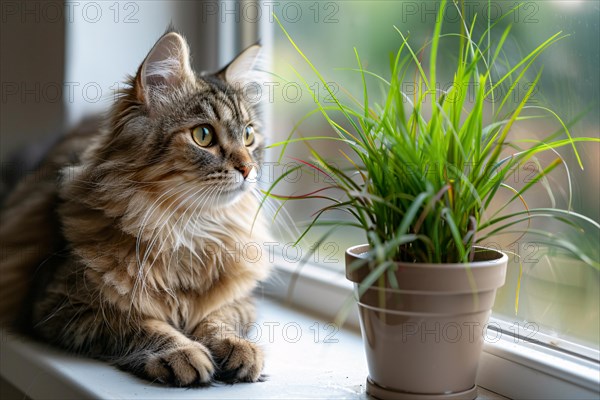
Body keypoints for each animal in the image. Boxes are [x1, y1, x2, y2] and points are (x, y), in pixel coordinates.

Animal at [0, 29, 270, 386]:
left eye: (249, 136)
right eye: (203, 135)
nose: (248, 169)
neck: (186, 229)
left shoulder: (239, 299)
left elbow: (218, 319)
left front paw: (237, 347)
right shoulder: (60, 305)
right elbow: (141, 324)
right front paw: (182, 352)